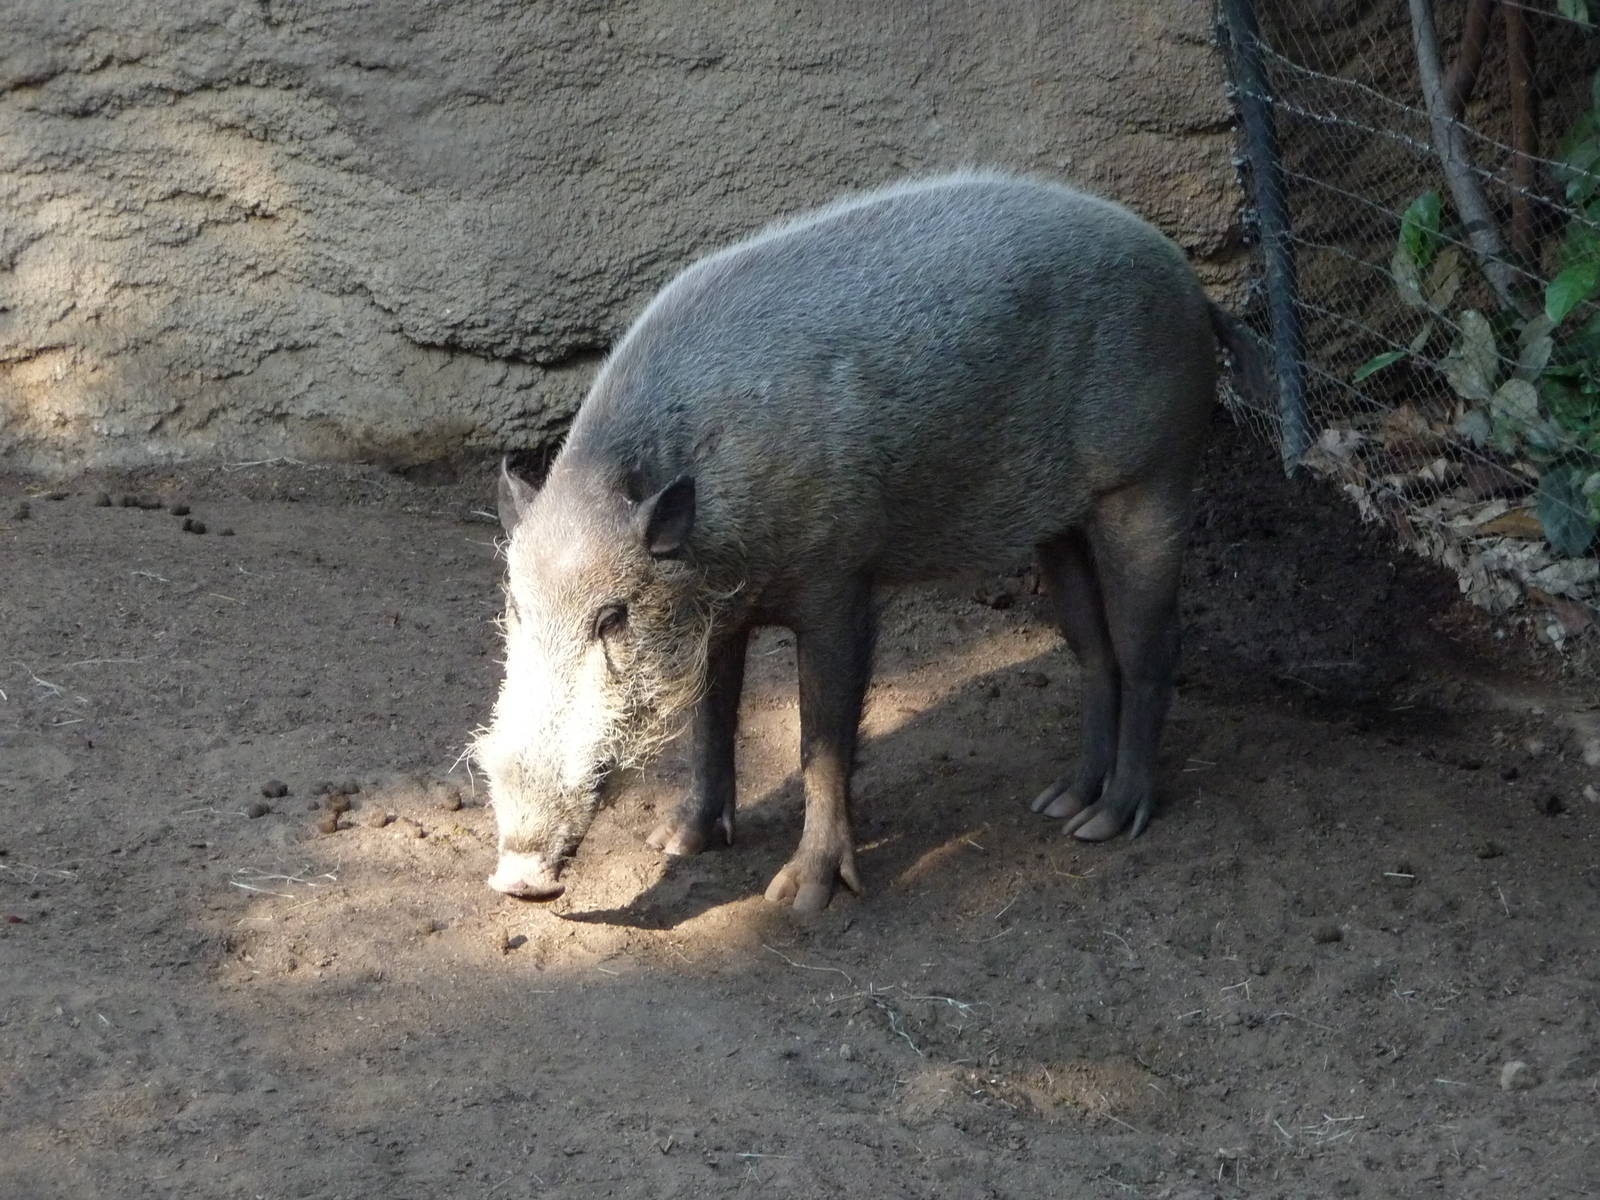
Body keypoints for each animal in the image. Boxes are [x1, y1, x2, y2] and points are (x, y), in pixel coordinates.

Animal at [473, 169, 1263, 913]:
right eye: (516, 610)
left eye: (612, 618)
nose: (516, 877)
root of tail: (1190, 284)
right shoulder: (717, 614)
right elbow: (710, 719)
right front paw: (675, 841)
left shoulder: (839, 579)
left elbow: (819, 742)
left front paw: (797, 899)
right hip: (1062, 521)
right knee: (1091, 647)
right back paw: (1060, 805)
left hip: (1151, 477)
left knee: (1148, 645)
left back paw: (1106, 825)